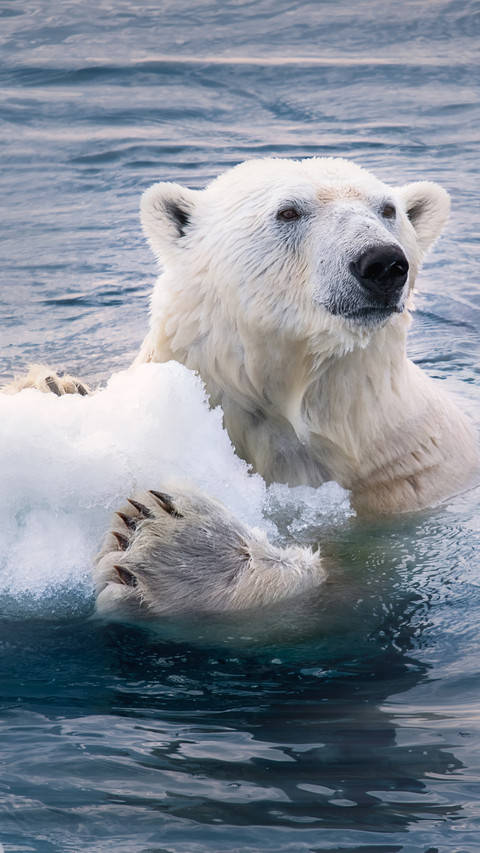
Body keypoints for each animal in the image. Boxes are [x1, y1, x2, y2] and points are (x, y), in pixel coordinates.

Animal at [4, 157, 479, 621]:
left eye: (388, 210)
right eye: (288, 211)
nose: (382, 263)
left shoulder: (405, 485)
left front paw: (181, 546)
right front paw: (51, 393)